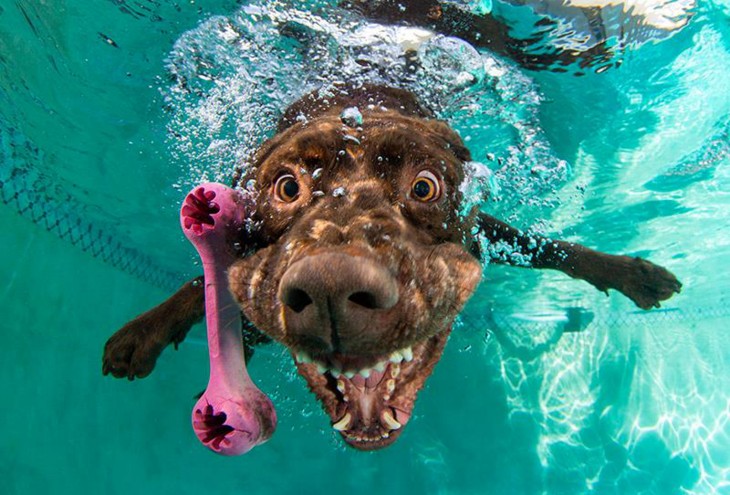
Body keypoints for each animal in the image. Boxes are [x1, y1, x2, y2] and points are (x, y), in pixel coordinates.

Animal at [104, 84, 684, 450]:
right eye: (287, 187)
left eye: (425, 186)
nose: (331, 291)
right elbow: (196, 284)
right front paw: (144, 331)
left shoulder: (491, 233)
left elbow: (549, 247)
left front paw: (631, 273)